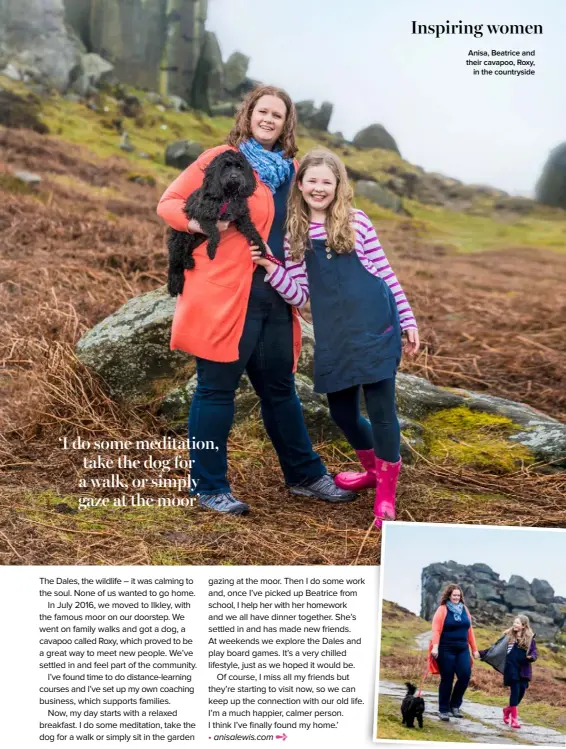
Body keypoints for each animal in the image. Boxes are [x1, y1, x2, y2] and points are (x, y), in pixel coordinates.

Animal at [168, 148, 268, 296]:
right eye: (225, 166)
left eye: (239, 167)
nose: (234, 177)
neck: (228, 196)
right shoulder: (203, 216)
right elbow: (215, 233)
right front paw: (211, 251)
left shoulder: (242, 217)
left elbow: (252, 230)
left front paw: (260, 246)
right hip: (182, 237)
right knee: (175, 261)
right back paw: (175, 282)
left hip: (196, 239)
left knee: (185, 254)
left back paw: (188, 262)